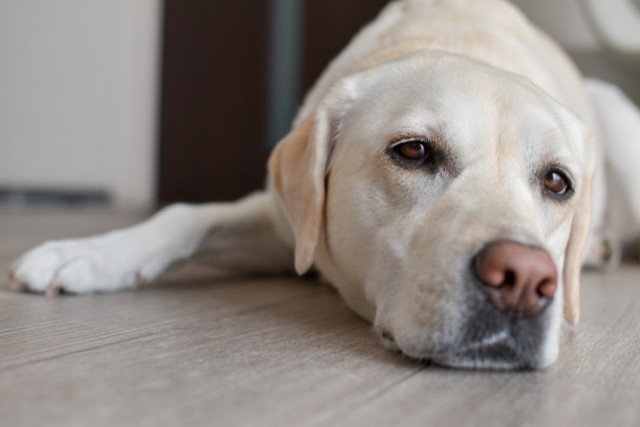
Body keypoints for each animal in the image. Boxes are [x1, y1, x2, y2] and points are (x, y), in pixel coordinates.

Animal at [6, 0, 640, 372]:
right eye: (413, 151)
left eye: (557, 182)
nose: (525, 279)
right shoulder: (286, 225)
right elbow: (186, 215)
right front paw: (90, 255)